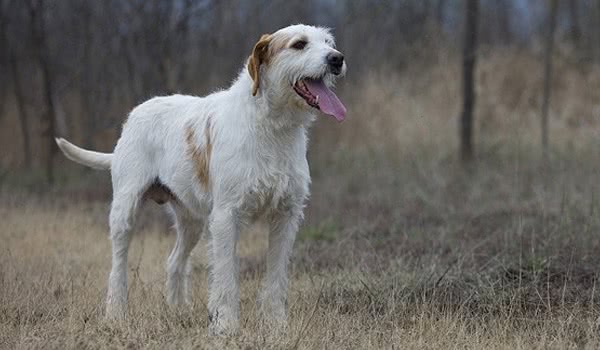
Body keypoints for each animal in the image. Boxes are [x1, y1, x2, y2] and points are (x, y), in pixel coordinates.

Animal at [57, 23, 346, 334]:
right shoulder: (226, 217)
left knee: (173, 261)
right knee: (118, 265)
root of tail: (135, 114)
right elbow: (226, 276)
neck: (271, 126)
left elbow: (276, 278)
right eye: (299, 44)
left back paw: (177, 309)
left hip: (191, 222)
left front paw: (276, 325)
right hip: (125, 210)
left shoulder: (286, 216)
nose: (337, 59)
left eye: (328, 42)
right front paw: (226, 326)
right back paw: (116, 313)